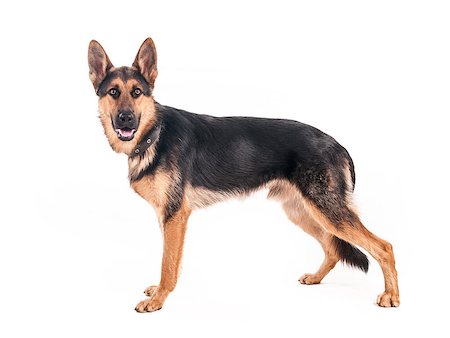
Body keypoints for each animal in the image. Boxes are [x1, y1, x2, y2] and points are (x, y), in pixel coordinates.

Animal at [88, 37, 400, 312]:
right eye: (113, 92)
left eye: (136, 92)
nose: (126, 119)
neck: (156, 133)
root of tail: (338, 145)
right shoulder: (167, 216)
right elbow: (171, 260)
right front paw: (159, 293)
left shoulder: (175, 216)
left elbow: (168, 263)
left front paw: (158, 300)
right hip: (302, 211)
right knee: (333, 248)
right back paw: (315, 278)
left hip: (327, 211)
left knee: (383, 246)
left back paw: (391, 296)